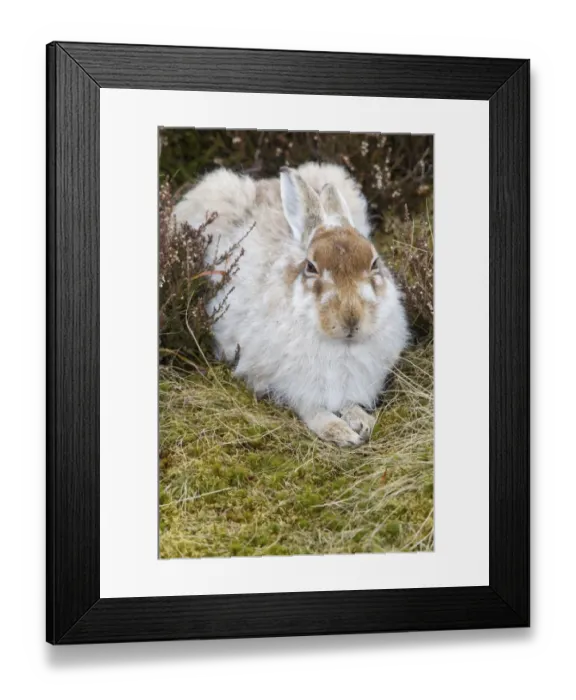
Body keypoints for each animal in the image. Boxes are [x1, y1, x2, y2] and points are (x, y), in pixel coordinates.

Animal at [173, 162, 409, 446]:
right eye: (311, 267)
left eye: (374, 263)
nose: (351, 318)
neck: (341, 344)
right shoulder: (289, 384)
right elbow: (312, 408)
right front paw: (339, 432)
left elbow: (350, 403)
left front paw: (363, 421)